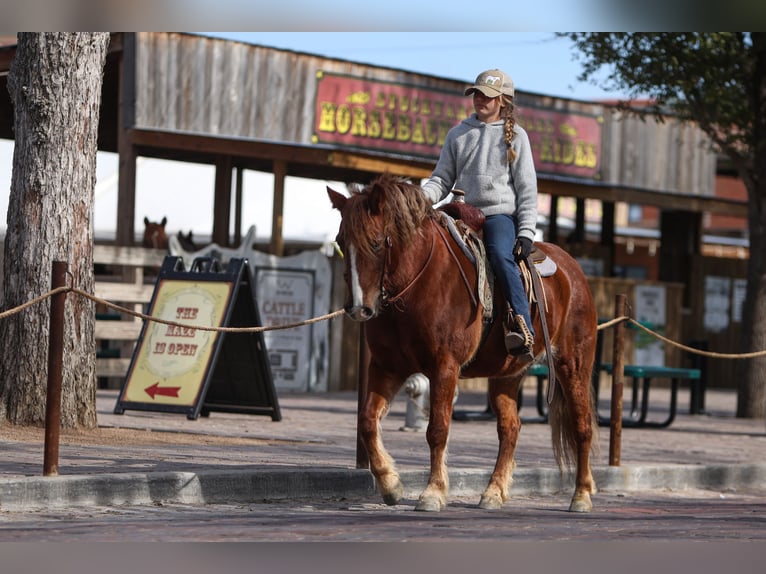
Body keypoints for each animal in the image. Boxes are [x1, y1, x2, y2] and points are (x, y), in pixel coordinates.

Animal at [328, 173, 604, 516]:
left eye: (376, 242)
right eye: (341, 242)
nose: (358, 308)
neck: (418, 283)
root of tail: (573, 271)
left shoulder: (444, 367)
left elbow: (437, 429)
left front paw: (432, 492)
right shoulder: (387, 367)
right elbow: (367, 421)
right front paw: (391, 484)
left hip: (573, 364)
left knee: (582, 427)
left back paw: (581, 495)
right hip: (507, 374)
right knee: (510, 427)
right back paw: (494, 492)